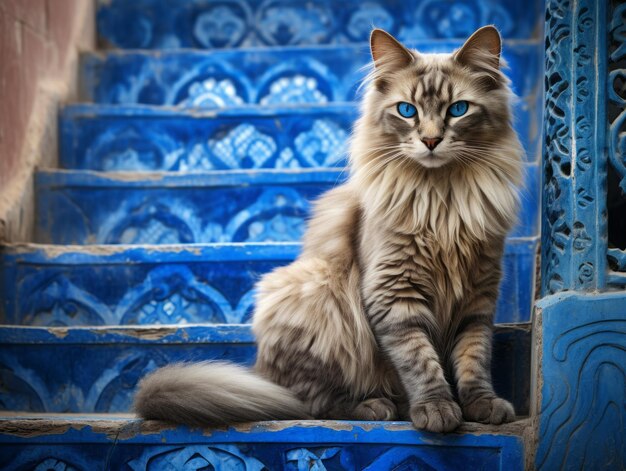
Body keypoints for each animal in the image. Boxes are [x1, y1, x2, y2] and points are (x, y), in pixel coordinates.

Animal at [135, 24, 520, 432]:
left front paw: (483, 405)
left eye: (458, 109)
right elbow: (419, 360)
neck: (443, 200)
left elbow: (474, 357)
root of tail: (263, 372)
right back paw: (376, 406)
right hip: (315, 292)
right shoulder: (394, 294)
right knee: (311, 403)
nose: (431, 140)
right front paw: (436, 409)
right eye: (407, 110)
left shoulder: (478, 297)